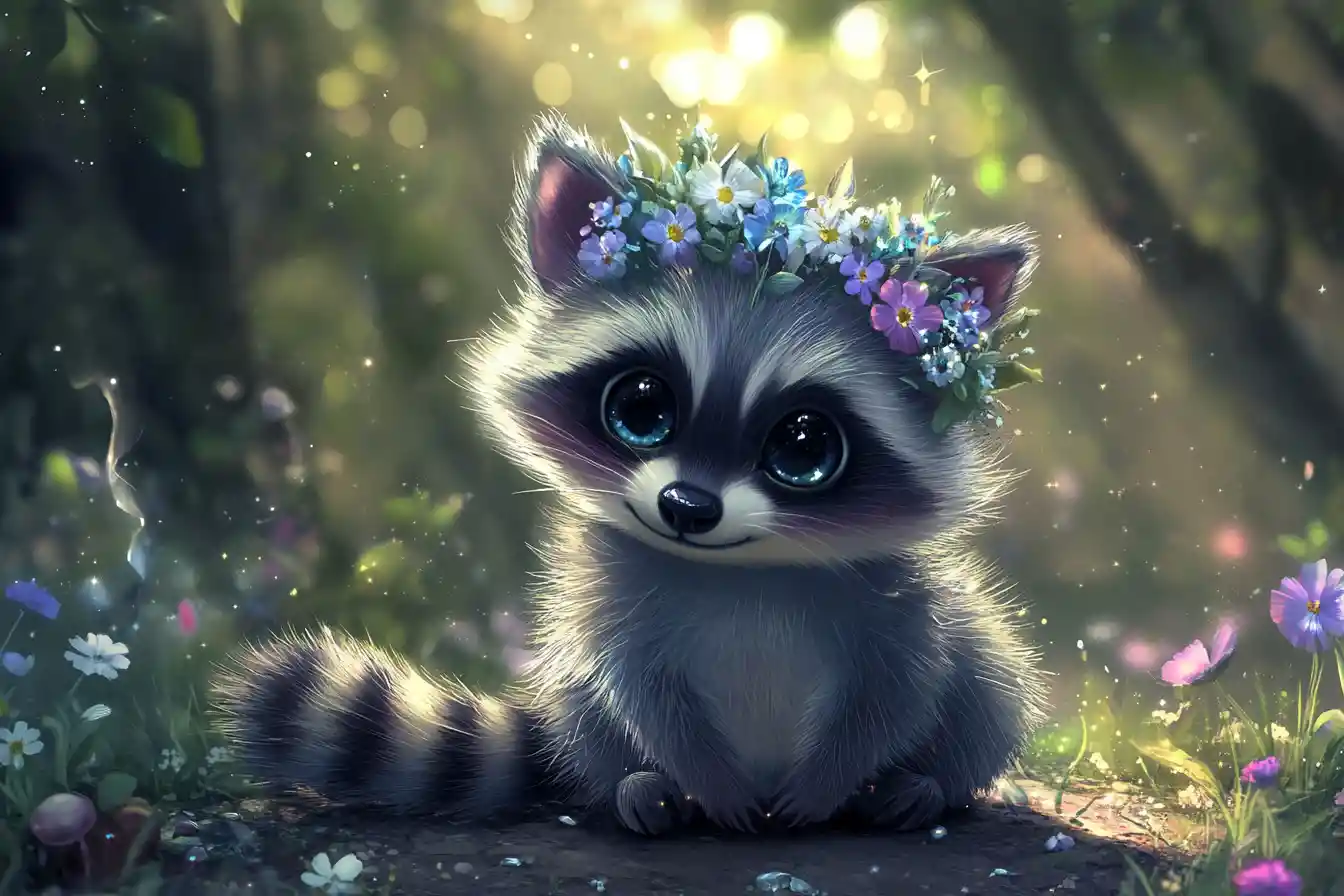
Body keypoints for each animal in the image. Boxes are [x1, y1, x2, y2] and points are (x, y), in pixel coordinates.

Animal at [213, 112, 1049, 836]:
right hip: (574, 700)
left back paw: (921, 785)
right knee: (591, 712)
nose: (687, 506)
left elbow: (899, 690)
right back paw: (636, 786)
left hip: (980, 665)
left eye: (804, 448)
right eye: (642, 407)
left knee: (984, 687)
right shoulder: (609, 592)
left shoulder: (898, 602)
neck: (741, 575)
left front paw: (832, 782)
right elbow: (639, 691)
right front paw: (699, 779)